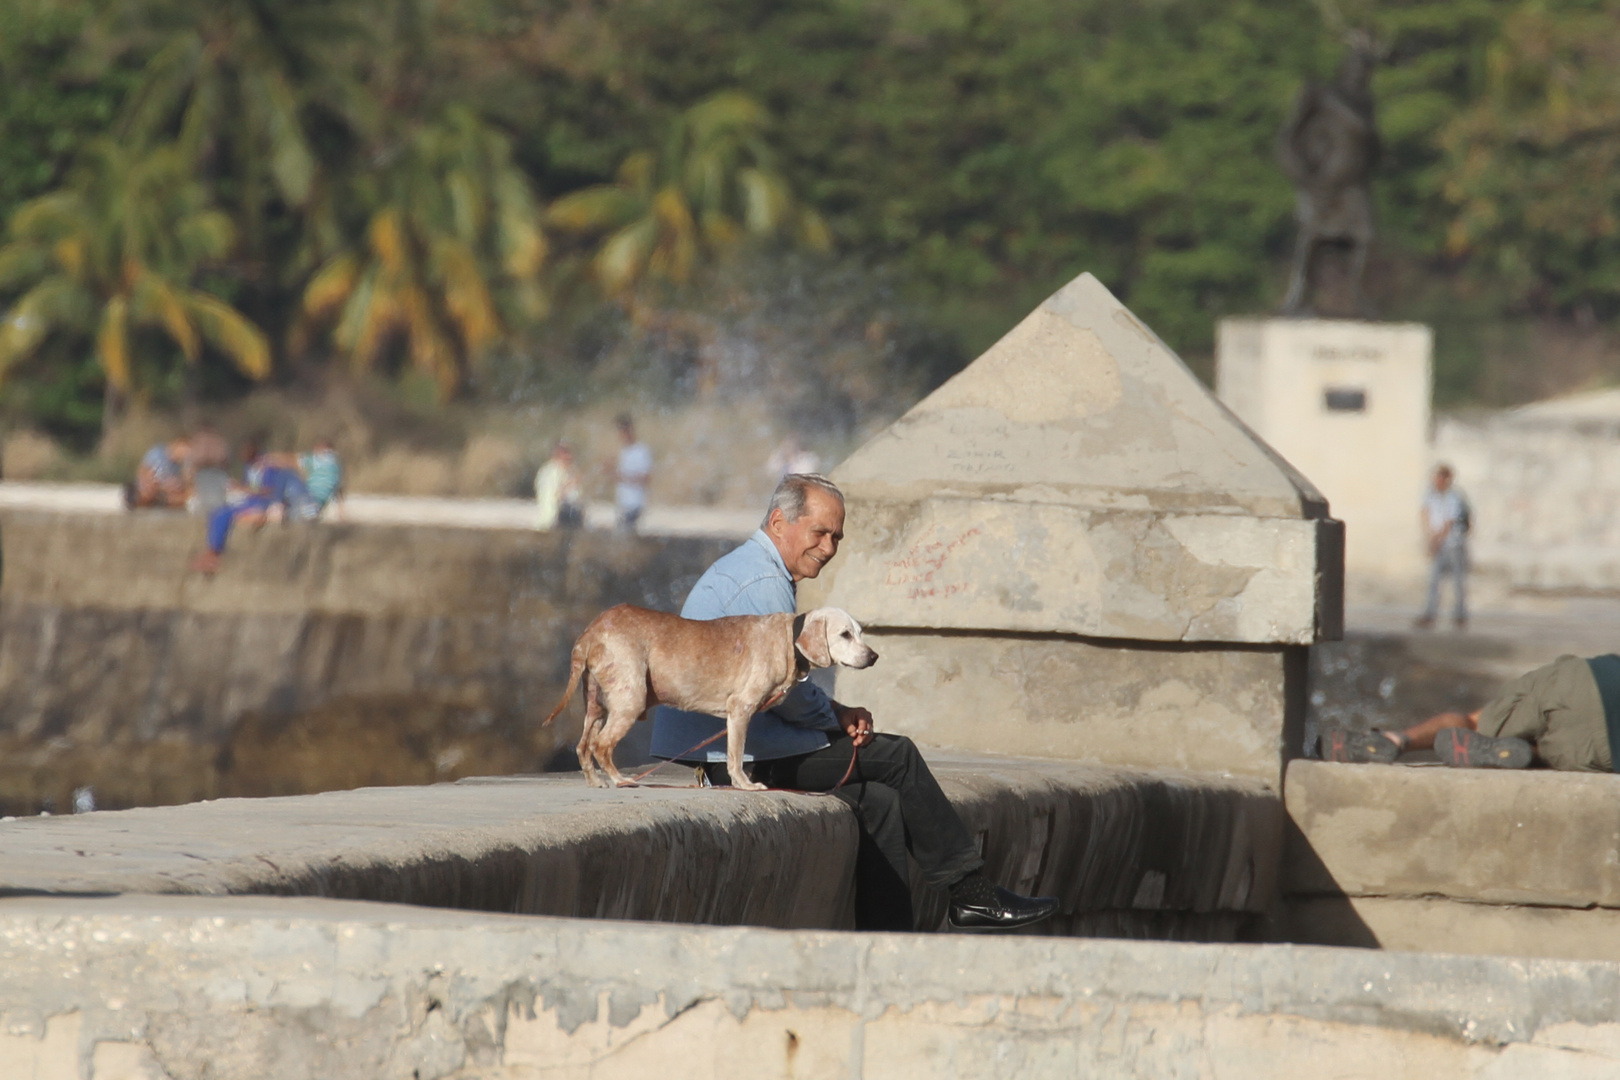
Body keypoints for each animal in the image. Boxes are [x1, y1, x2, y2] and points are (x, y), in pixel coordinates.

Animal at [541, 605, 874, 790]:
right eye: (845, 634)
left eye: (860, 632)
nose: (874, 656)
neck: (789, 638)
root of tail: (591, 631)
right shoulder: (740, 710)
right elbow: (735, 757)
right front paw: (745, 785)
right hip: (629, 700)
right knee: (601, 745)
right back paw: (620, 780)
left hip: (596, 703)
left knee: (584, 745)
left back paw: (596, 781)